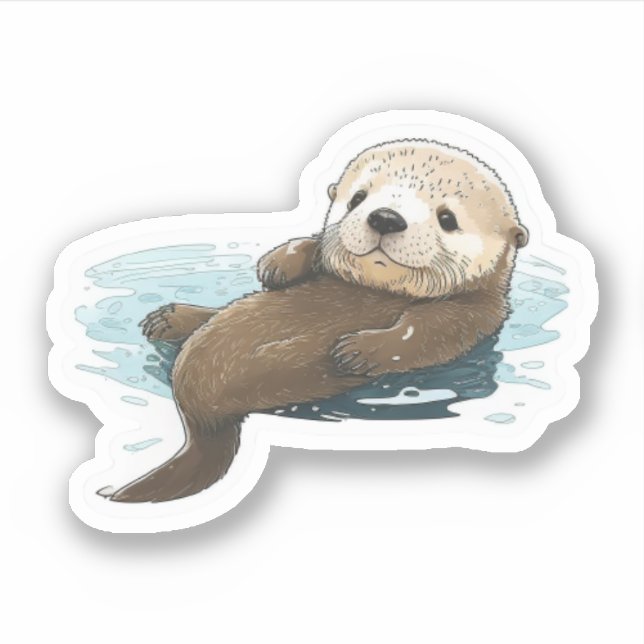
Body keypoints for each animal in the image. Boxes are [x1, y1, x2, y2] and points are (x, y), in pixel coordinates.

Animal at [108, 139, 528, 503]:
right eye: (358, 198)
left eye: (447, 218)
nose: (385, 218)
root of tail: (196, 408)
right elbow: (315, 247)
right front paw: (277, 263)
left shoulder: (475, 313)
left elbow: (426, 332)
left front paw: (359, 351)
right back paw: (170, 318)